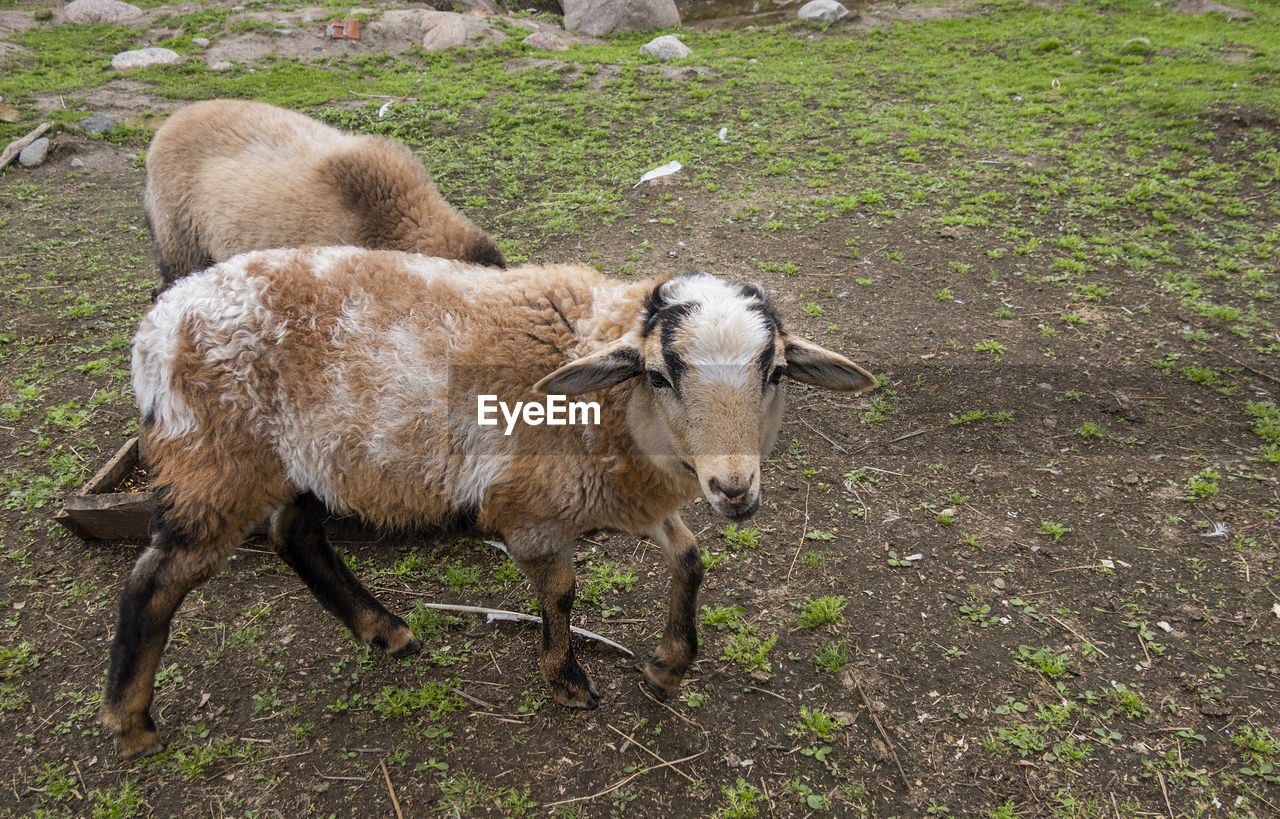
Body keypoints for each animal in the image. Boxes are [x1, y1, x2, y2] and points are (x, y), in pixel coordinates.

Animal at [104, 245, 875, 757]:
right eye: (659, 374)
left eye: (776, 372)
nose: (735, 489)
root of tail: (157, 325)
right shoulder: (532, 509)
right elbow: (561, 592)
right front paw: (567, 679)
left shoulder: (628, 492)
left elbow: (689, 558)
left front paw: (668, 665)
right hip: (216, 460)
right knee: (154, 578)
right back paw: (132, 721)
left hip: (311, 458)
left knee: (294, 533)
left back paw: (384, 630)